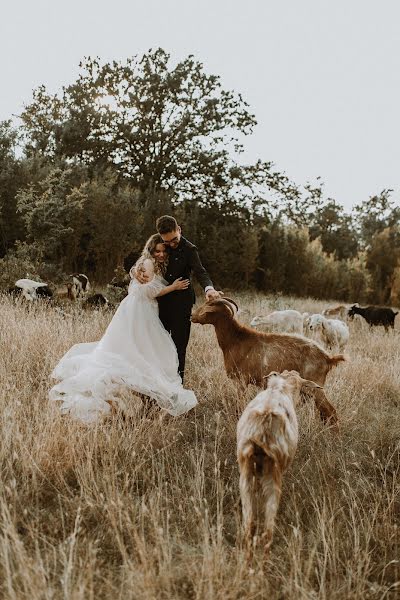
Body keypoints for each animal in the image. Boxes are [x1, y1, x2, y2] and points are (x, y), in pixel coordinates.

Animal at [191, 298, 344, 422]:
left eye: (208, 308)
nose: (192, 316)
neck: (236, 340)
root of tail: (328, 358)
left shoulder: (240, 380)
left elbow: (239, 406)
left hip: (316, 387)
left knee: (331, 411)